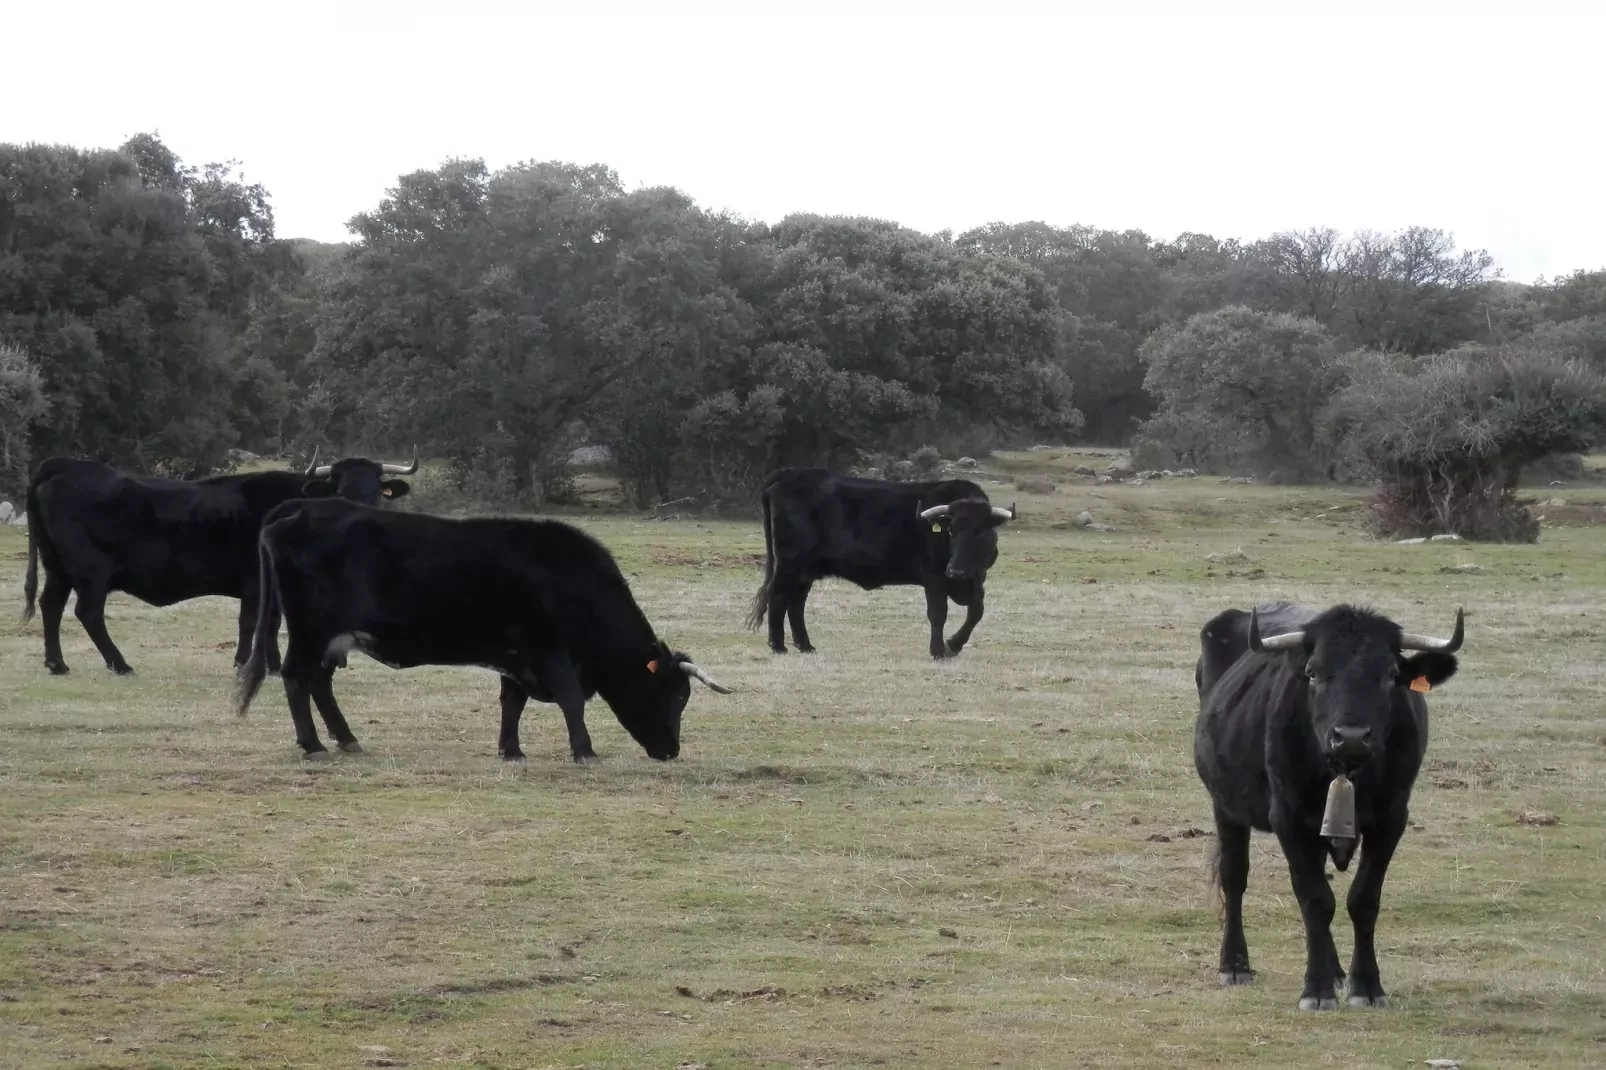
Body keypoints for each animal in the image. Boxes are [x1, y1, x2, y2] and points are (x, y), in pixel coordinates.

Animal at [20, 448, 417, 677]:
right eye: (340, 489)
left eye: (375, 491)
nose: (360, 517)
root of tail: (64, 465)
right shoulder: (256, 581)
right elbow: (254, 623)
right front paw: (249, 663)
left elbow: (270, 624)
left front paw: (272, 664)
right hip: (91, 571)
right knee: (87, 613)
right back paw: (120, 664)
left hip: (58, 568)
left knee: (50, 605)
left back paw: (56, 663)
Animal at [232, 497, 733, 762]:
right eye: (675, 696)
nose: (671, 750)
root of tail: (302, 511)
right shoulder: (549, 650)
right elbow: (571, 700)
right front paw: (584, 750)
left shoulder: (517, 657)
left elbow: (511, 702)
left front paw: (511, 750)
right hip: (310, 632)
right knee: (297, 678)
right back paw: (313, 744)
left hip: (330, 639)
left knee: (319, 682)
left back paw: (347, 740)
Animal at [745, 467, 1015, 659]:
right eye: (951, 531)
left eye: (980, 533)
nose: (956, 571)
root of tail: (788, 474)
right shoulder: (934, 577)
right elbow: (938, 613)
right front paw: (939, 650)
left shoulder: (978, 578)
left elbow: (976, 612)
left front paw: (954, 645)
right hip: (789, 564)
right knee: (778, 596)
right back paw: (778, 646)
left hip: (806, 570)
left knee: (796, 603)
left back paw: (805, 645)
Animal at [1193, 602, 1464, 1011]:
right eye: (1313, 673)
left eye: (1390, 674)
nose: (1350, 738)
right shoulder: (1288, 819)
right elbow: (1315, 899)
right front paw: (1316, 990)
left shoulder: (1391, 819)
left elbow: (1363, 899)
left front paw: (1366, 986)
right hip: (1225, 806)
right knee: (1234, 877)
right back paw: (1235, 965)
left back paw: (1336, 970)